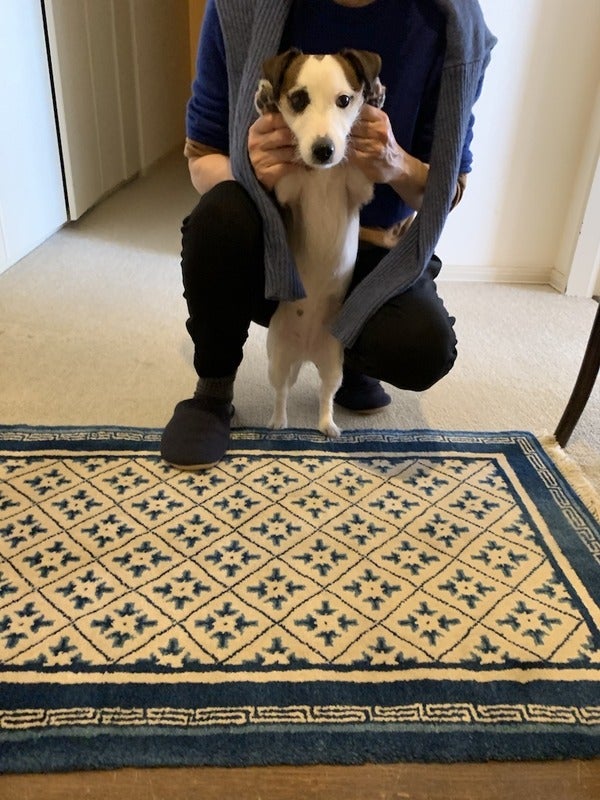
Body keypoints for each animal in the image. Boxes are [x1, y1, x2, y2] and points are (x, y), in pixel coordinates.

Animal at [255, 48, 384, 437]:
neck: (324, 177)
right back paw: (278, 422)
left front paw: (376, 96)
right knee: (280, 392)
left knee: (326, 396)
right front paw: (264, 100)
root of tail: (307, 353)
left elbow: (360, 169)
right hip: (278, 359)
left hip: (333, 365)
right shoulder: (288, 189)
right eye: (298, 99)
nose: (324, 150)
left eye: (344, 100)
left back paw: (328, 425)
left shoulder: (359, 186)